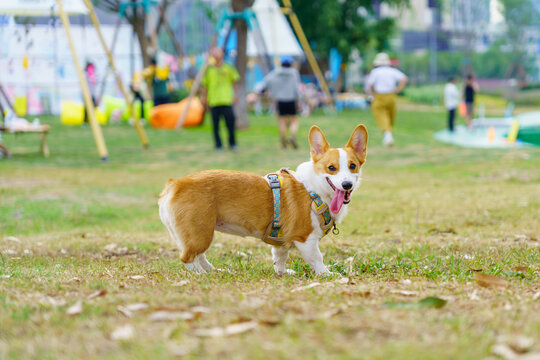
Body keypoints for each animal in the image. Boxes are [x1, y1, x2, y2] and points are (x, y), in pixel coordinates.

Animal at [157, 124, 368, 276]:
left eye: (353, 166)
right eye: (331, 168)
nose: (347, 184)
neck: (315, 190)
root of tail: (175, 184)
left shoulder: (281, 243)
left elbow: (279, 258)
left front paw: (282, 273)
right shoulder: (306, 239)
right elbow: (317, 259)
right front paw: (328, 275)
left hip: (200, 233)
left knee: (199, 255)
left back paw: (213, 272)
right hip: (201, 233)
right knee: (188, 258)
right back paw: (201, 275)